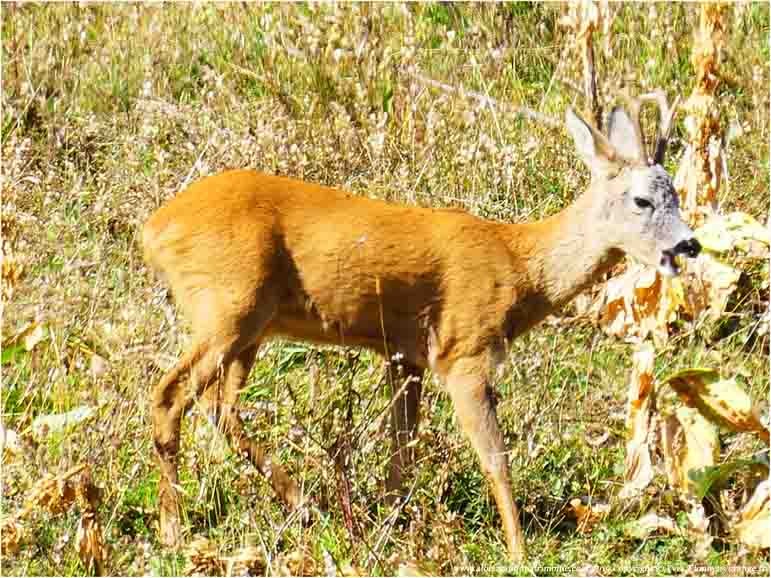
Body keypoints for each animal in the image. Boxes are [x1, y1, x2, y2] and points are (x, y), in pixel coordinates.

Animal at [143, 93, 700, 560]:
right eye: (642, 201)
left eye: (676, 194)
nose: (689, 245)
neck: (519, 266)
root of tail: (154, 228)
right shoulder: (464, 351)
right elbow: (494, 456)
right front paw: (519, 552)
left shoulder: (404, 354)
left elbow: (401, 451)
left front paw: (392, 527)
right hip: (226, 306)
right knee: (170, 395)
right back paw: (174, 532)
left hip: (251, 325)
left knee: (218, 405)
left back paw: (305, 507)